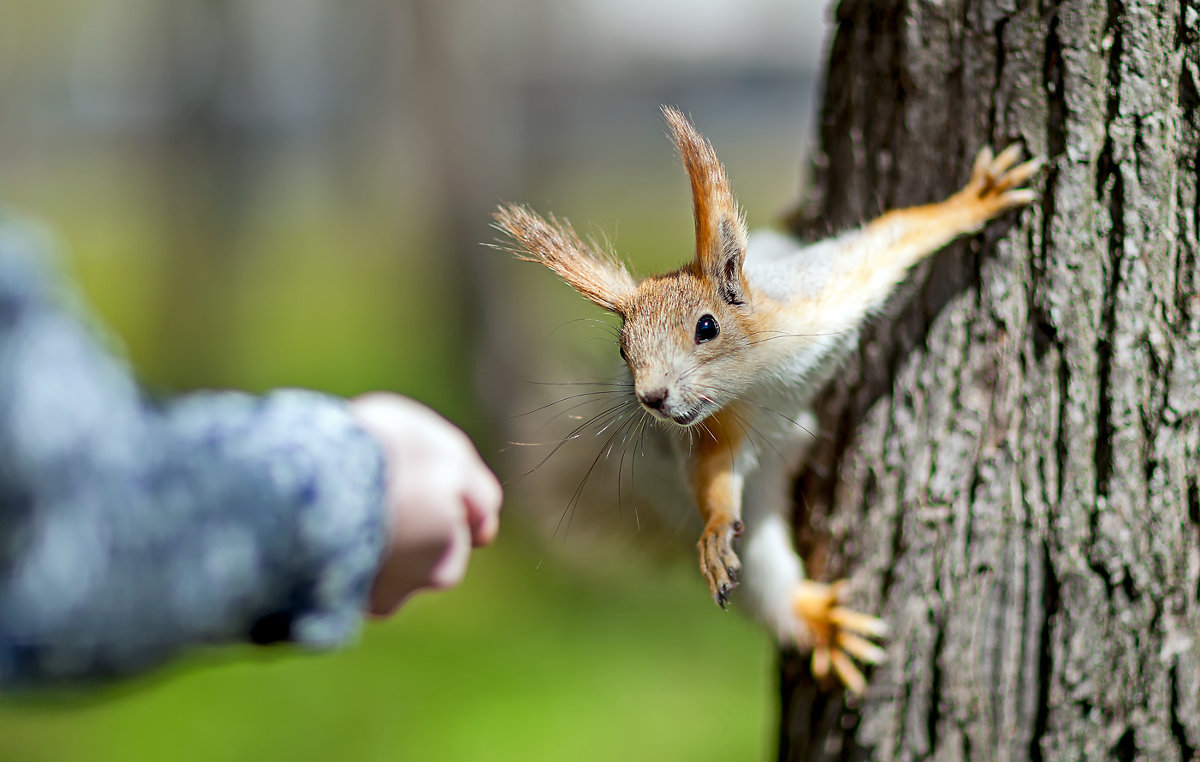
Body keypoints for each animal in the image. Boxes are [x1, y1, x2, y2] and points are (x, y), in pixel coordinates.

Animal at [496, 104, 1041, 696]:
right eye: (622, 349)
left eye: (706, 327)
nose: (652, 398)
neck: (761, 374)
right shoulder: (719, 424)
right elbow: (714, 475)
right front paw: (715, 528)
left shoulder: (828, 291)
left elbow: (894, 236)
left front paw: (975, 198)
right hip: (749, 532)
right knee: (766, 579)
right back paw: (818, 621)